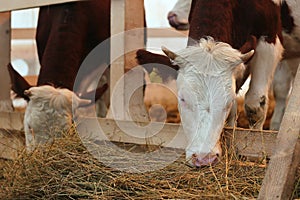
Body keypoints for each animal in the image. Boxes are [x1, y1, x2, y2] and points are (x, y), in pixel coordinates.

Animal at [136, 0, 284, 167]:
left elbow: (255, 104)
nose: (204, 158)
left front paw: (259, 156)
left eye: (228, 101)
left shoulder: (270, 39)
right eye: (182, 99)